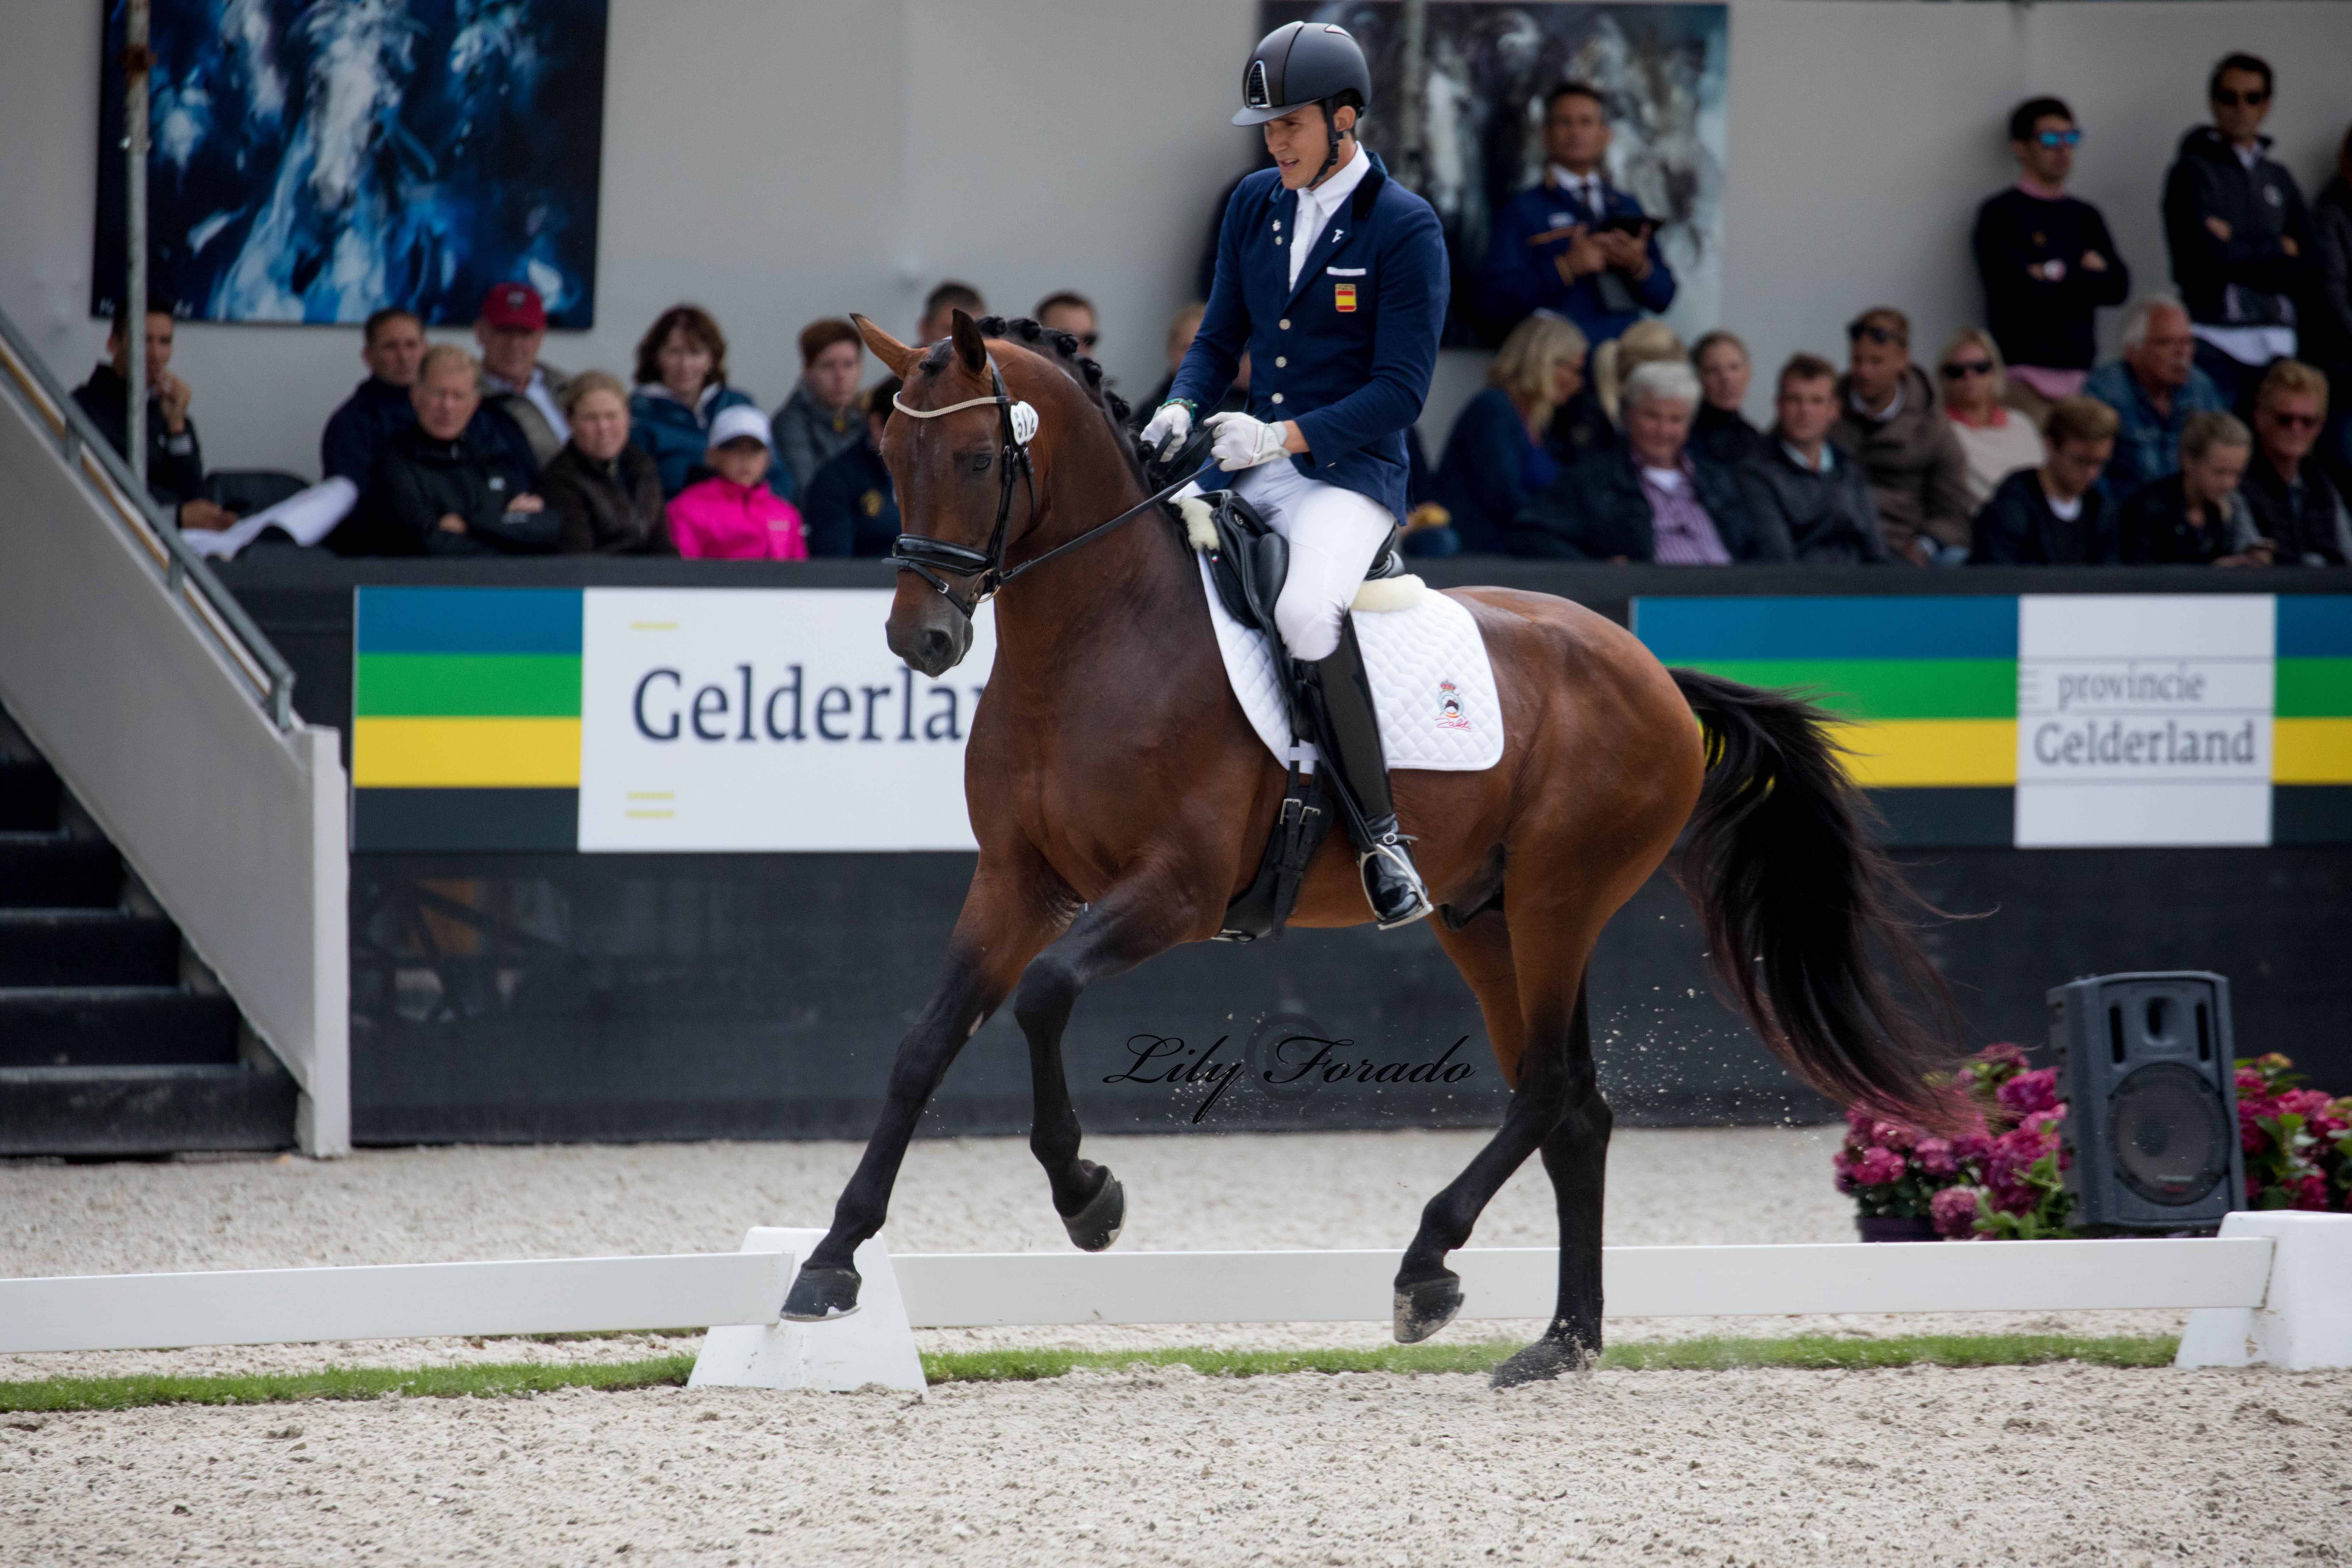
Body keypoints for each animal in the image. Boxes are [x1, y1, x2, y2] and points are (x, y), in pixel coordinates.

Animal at [790, 310, 1947, 1382]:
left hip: (1559, 900)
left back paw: (1428, 1268)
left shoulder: (1176, 892)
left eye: (978, 460)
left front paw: (1089, 1198)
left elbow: (1041, 996)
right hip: (1484, 916)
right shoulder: (1016, 883)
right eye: (888, 458)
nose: (922, 640)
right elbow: (925, 1043)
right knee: (1577, 1105)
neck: (1095, 640)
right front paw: (831, 1260)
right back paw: (1562, 1341)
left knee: (1545, 1088)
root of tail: (1651, 668)